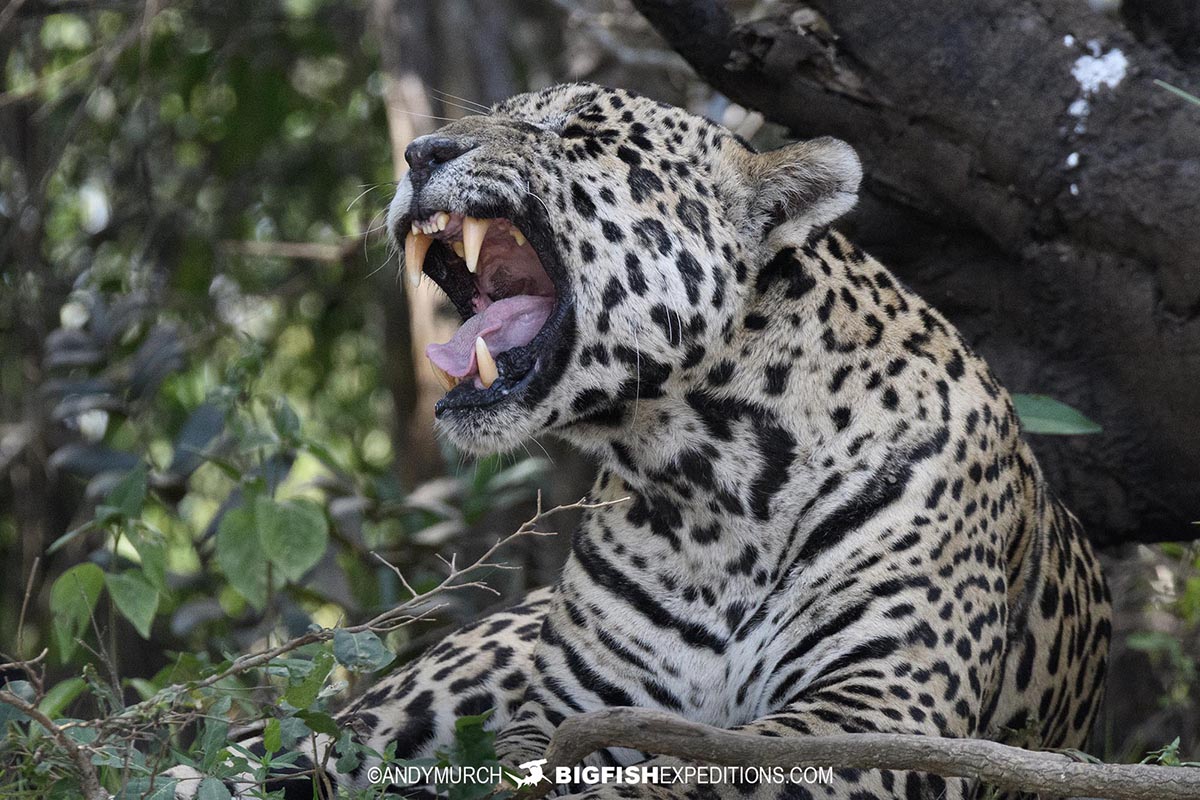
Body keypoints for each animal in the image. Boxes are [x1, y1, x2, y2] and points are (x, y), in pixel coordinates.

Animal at [171, 82, 1111, 800]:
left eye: (578, 131)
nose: (419, 153)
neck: (714, 480)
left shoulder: (880, 711)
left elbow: (720, 770)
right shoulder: (566, 712)